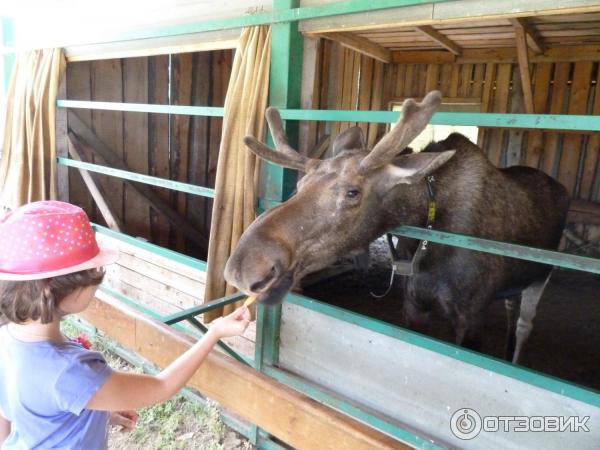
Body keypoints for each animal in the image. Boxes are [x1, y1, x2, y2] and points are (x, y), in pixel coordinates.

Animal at [224, 90, 568, 362]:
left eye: (353, 192)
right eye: (301, 183)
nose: (243, 266)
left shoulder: (471, 315)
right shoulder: (414, 304)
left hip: (542, 276)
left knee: (524, 325)